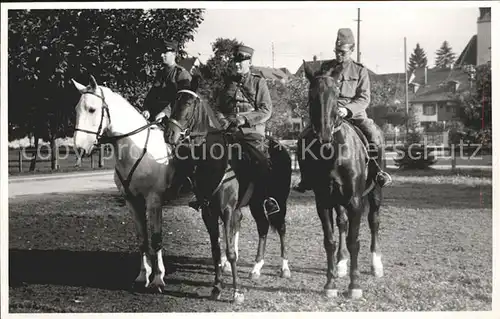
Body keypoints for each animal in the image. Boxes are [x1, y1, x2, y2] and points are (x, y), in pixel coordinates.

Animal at [298, 62, 384, 300]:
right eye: (311, 94)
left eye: (336, 94)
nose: (324, 135)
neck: (333, 151)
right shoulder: (323, 202)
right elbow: (330, 240)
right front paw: (330, 284)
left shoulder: (355, 201)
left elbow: (354, 241)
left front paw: (354, 285)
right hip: (337, 200)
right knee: (342, 223)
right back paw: (341, 263)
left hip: (375, 193)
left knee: (374, 221)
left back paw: (376, 264)